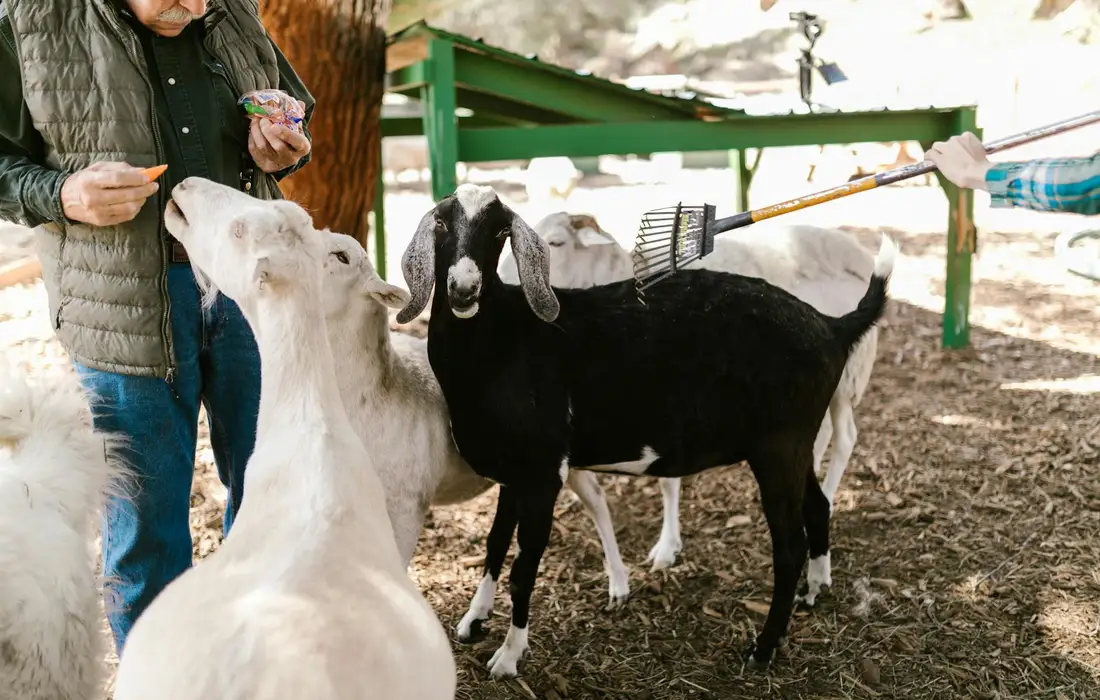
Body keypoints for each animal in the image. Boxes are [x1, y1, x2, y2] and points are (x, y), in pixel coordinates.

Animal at [500, 214, 880, 571]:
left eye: (556, 242)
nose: (507, 284)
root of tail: (857, 252)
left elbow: (667, 482)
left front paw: (667, 546)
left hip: (846, 374)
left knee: (841, 437)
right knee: (829, 435)